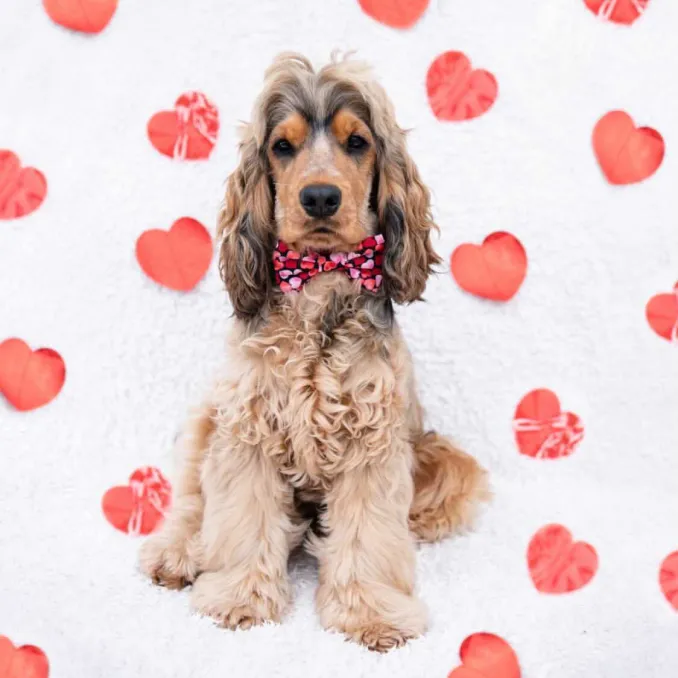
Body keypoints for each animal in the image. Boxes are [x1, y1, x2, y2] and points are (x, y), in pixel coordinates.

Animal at [139, 53, 488, 652]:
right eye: (283, 145)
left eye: (357, 142)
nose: (320, 197)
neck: (320, 279)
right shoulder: (247, 427)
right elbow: (240, 517)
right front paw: (237, 599)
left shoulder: (373, 441)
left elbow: (367, 535)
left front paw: (370, 614)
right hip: (209, 415)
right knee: (192, 499)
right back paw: (178, 551)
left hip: (444, 458)